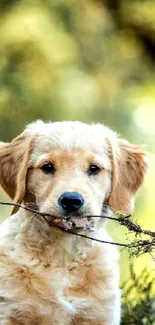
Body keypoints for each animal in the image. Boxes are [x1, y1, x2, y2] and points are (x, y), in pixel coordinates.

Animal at [0, 121, 148, 324]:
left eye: (94, 168)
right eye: (47, 167)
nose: (71, 200)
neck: (63, 254)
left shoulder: (99, 313)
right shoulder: (10, 309)